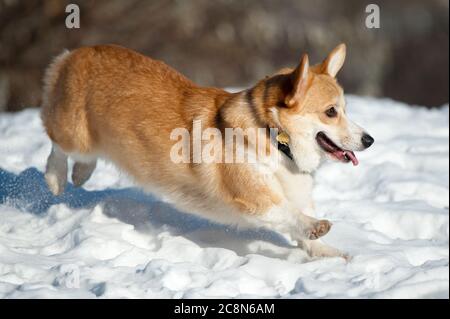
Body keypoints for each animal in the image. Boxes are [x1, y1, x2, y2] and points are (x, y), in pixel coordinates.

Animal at [41, 43, 372, 258]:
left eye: (344, 109)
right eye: (331, 112)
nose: (369, 140)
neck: (275, 138)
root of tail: (75, 53)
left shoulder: (298, 192)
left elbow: (302, 225)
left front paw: (329, 253)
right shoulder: (253, 196)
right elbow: (288, 214)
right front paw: (316, 227)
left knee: (82, 160)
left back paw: (81, 174)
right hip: (76, 135)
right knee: (57, 145)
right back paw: (56, 179)